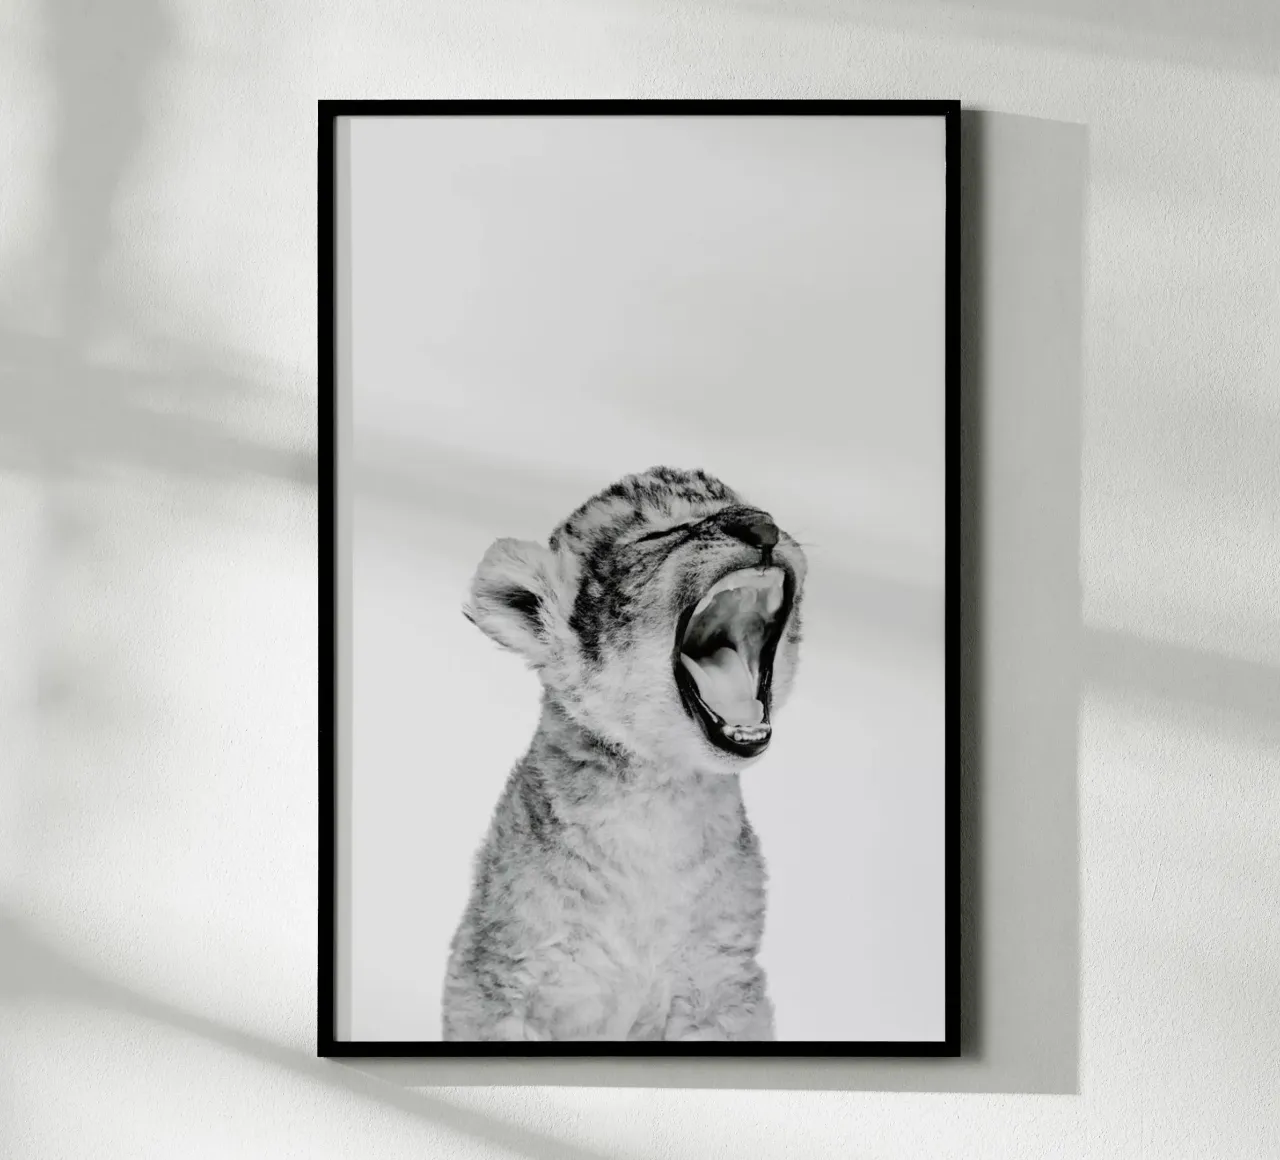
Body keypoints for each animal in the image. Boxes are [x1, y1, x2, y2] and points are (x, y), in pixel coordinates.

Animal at [441, 466, 807, 1041]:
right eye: (659, 532)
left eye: (755, 509)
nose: (763, 527)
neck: (659, 808)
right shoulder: (501, 979)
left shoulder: (721, 984)